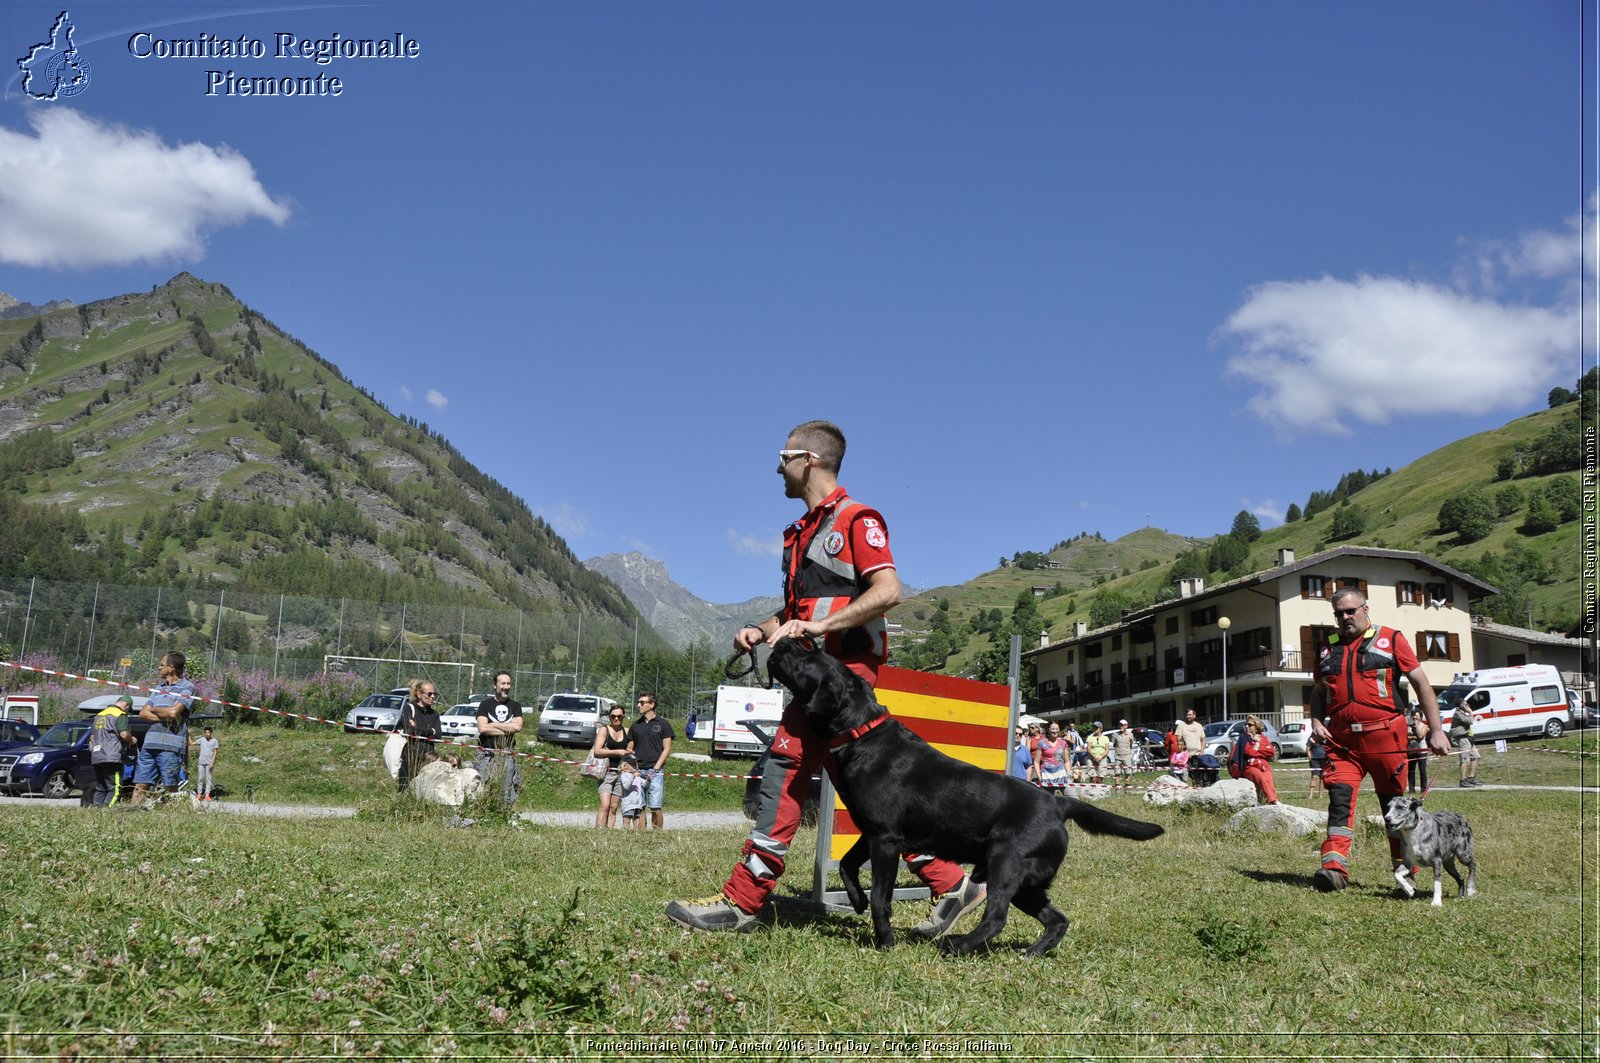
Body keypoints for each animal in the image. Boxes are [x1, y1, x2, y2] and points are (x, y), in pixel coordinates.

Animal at [764, 633, 1164, 960]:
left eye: (806, 660)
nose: (781, 641)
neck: (861, 732)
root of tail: (1057, 801)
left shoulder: (886, 840)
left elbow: (881, 896)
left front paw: (885, 940)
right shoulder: (871, 833)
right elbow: (847, 865)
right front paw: (856, 900)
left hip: (1007, 864)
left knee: (996, 917)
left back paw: (958, 945)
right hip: (1027, 883)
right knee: (1057, 919)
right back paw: (1031, 952)